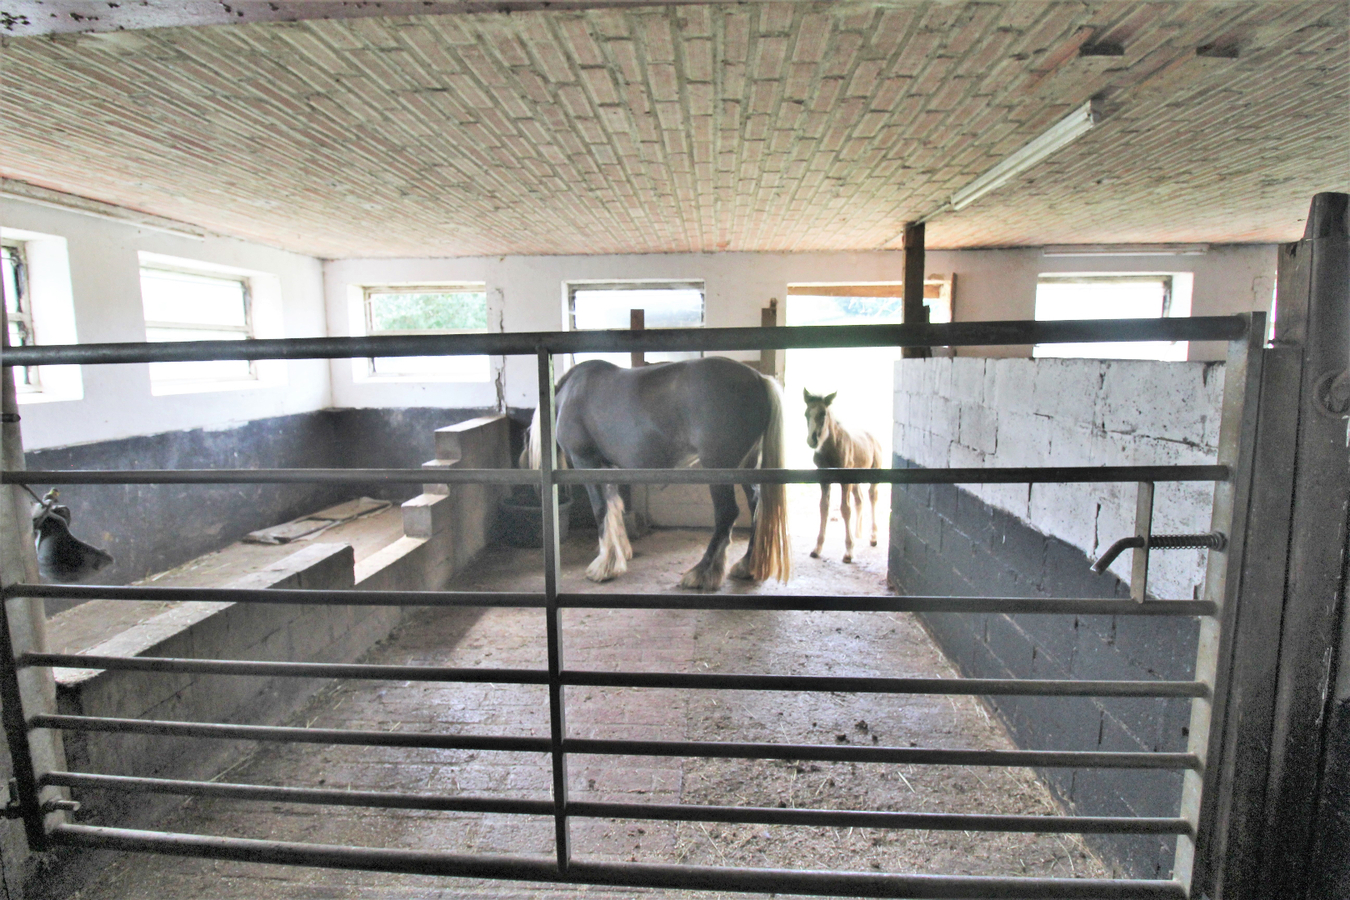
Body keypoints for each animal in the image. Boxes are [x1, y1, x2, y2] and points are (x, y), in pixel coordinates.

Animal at [804, 388, 880, 564]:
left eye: (823, 413)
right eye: (806, 414)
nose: (812, 441)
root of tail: (871, 435)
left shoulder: (845, 480)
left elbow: (845, 509)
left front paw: (848, 551)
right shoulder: (824, 480)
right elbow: (824, 507)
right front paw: (817, 548)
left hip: (873, 473)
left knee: (872, 496)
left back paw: (873, 537)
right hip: (855, 479)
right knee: (859, 499)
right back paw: (858, 534)